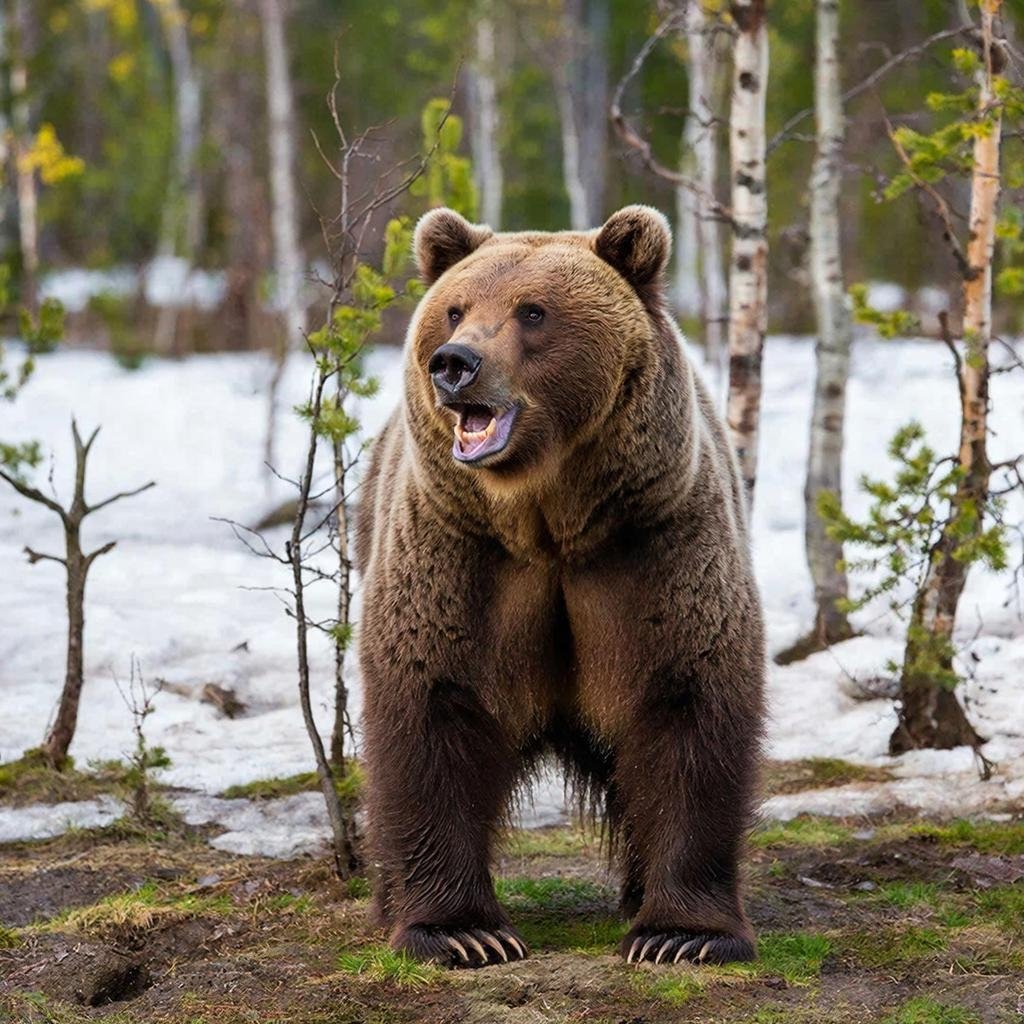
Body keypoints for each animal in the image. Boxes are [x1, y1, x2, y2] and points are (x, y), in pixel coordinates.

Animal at [355, 204, 765, 969]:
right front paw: (462, 931)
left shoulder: (653, 545)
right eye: (455, 308)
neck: (547, 523)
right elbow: (431, 709)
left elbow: (688, 705)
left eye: (533, 311)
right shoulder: (459, 556)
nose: (453, 363)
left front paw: (681, 935)